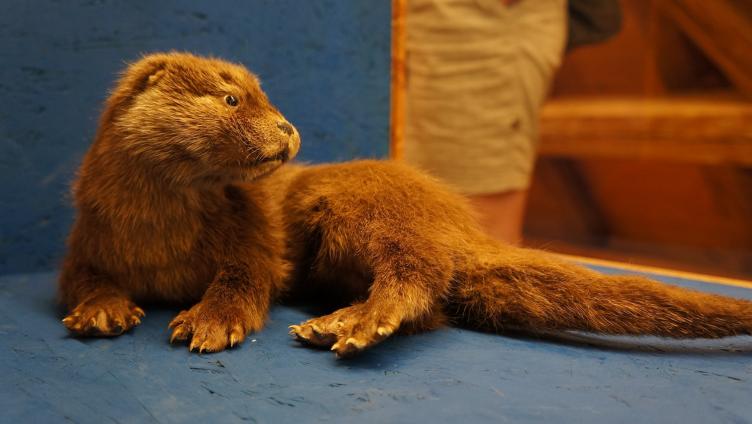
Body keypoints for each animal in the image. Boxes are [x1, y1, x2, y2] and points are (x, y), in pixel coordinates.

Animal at [60, 52, 752, 356]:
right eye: (232, 100)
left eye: (267, 97)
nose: (287, 127)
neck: (159, 235)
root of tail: (456, 218)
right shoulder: (85, 241)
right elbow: (81, 282)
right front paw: (102, 311)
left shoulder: (252, 236)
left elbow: (246, 278)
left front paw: (209, 320)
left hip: (360, 209)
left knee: (418, 269)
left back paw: (351, 323)